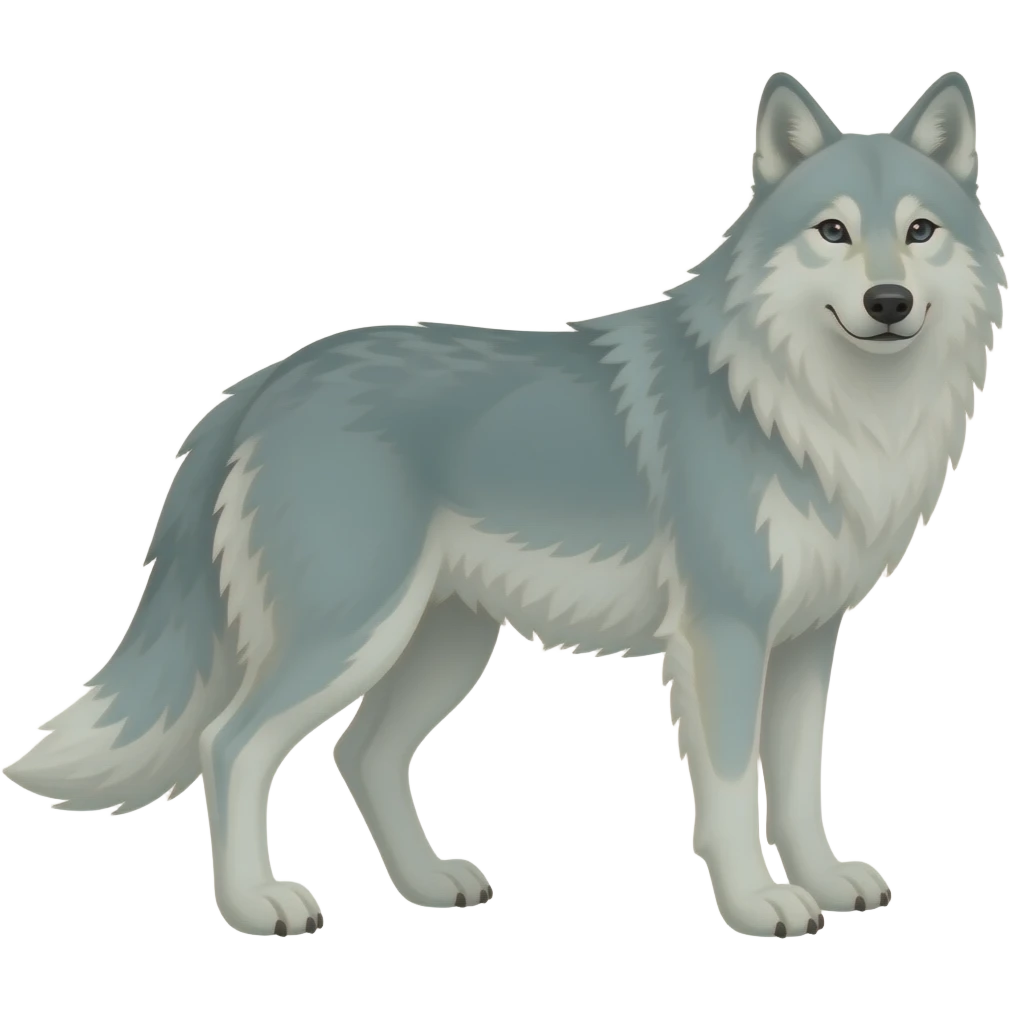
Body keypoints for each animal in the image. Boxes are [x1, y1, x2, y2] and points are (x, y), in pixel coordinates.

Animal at [4, 71, 1004, 938]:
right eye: (832, 231)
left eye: (920, 231)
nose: (888, 300)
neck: (812, 409)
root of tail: (264, 382)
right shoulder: (723, 637)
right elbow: (729, 791)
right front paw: (760, 906)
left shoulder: (804, 640)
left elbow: (798, 788)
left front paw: (826, 884)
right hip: (352, 634)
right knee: (232, 744)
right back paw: (259, 906)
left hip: (441, 644)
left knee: (360, 755)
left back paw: (428, 884)